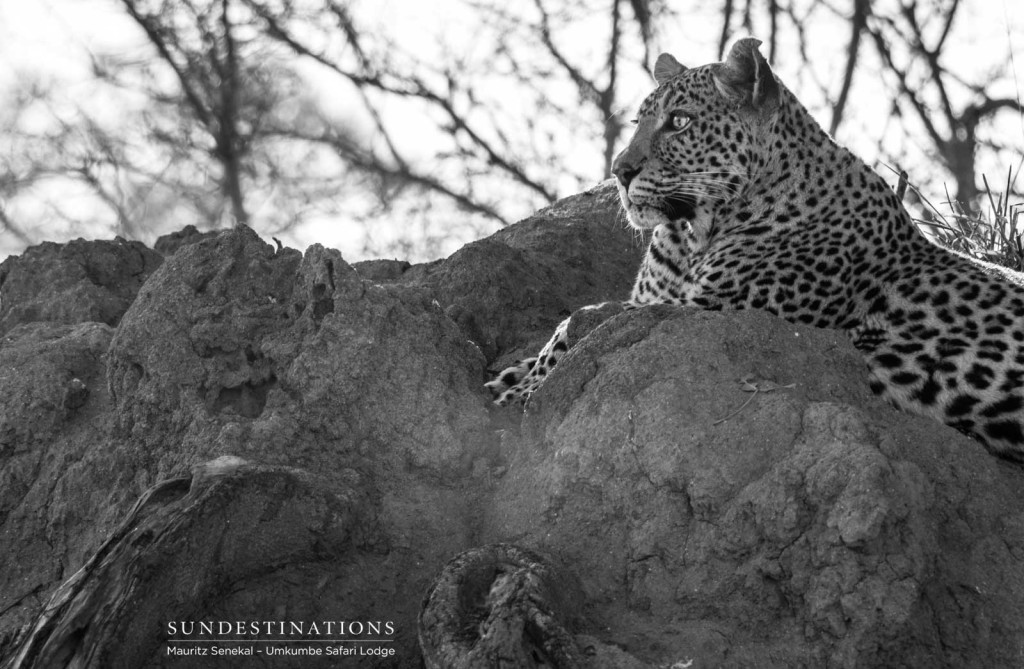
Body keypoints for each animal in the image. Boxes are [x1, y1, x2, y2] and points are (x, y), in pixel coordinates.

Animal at [485, 36, 1024, 461]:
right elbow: (577, 324)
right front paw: (512, 378)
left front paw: (519, 391)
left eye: (679, 121)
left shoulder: (713, 312)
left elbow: (583, 320)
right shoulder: (661, 301)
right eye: (639, 120)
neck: (693, 235)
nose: (620, 171)